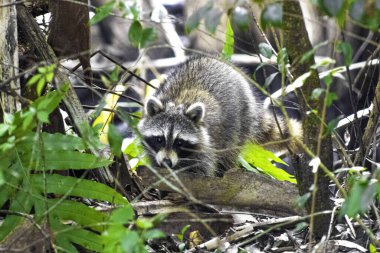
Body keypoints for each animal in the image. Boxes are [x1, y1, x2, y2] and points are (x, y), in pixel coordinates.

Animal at [138, 56, 302, 177]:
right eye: (160, 139)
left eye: (179, 142)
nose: (167, 162)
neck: (177, 104)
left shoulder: (206, 147)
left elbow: (204, 170)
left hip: (241, 121)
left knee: (229, 151)